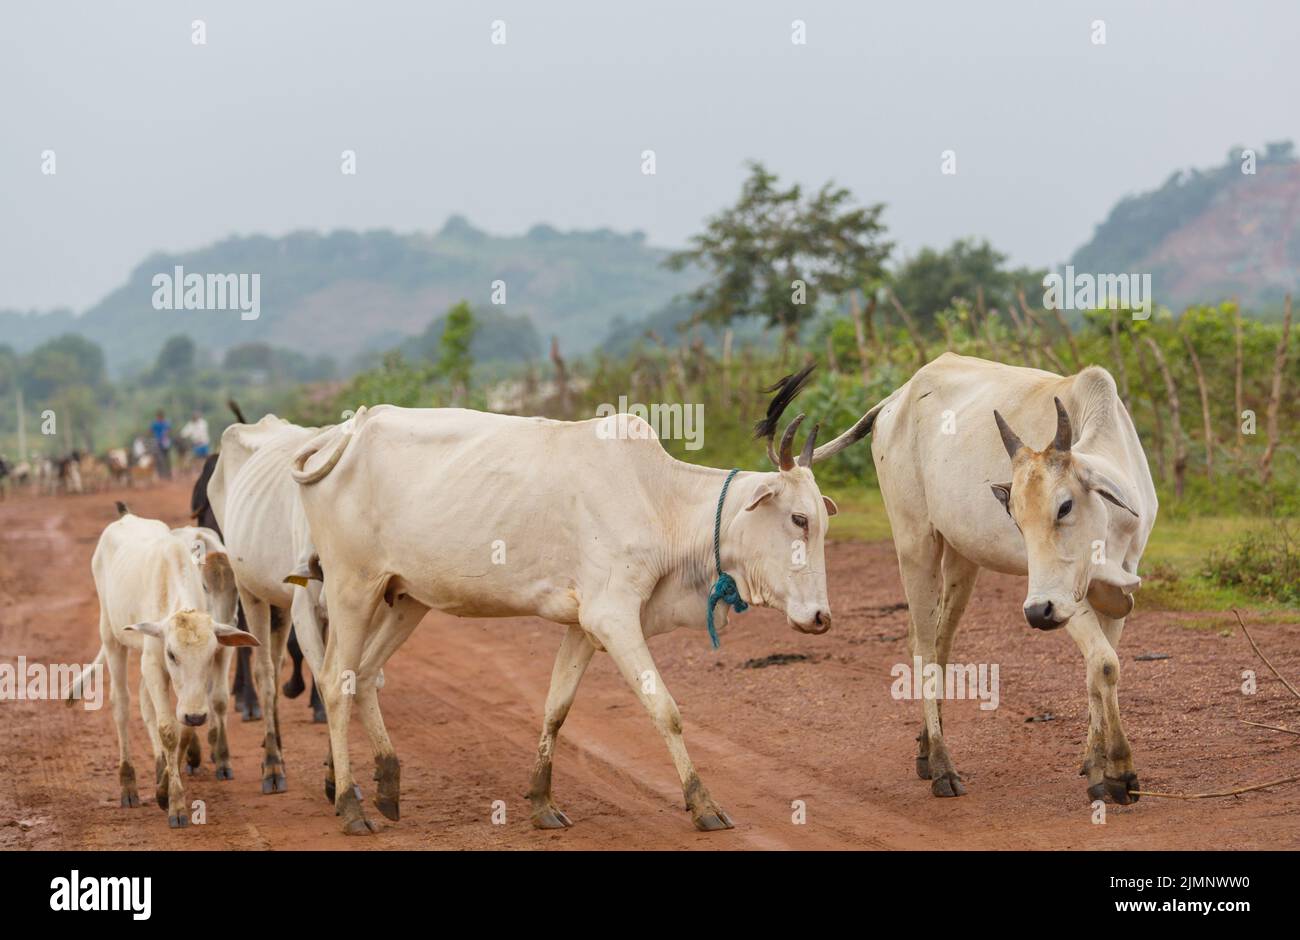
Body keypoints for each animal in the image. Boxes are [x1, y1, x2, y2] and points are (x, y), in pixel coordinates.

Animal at [79, 503, 257, 827]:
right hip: (110, 637)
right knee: (121, 704)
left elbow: (184, 729)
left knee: (145, 705)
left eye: (209, 654)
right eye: (172, 654)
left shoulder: (194, 687)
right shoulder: (154, 664)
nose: (196, 715)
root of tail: (126, 517)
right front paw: (175, 804)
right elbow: (168, 730)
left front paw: (164, 787)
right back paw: (128, 786)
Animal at [288, 372, 835, 835]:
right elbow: (666, 709)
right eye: (798, 519)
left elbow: (556, 708)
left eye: (821, 521)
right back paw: (350, 806)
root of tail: (349, 430)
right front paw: (703, 804)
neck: (659, 501)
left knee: (365, 675)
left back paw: (384, 783)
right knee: (335, 681)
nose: (821, 618)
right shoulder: (613, 617)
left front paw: (542, 802)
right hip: (352, 587)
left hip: (405, 598)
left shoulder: (584, 625)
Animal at [814, 352, 1157, 803]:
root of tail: (896, 397)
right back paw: (943, 766)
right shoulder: (1065, 596)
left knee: (940, 642)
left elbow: (1096, 671)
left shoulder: (1118, 585)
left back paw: (926, 751)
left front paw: (1095, 765)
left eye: (1065, 506)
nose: (1037, 613)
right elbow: (1104, 665)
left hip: (962, 557)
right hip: (914, 542)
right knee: (923, 647)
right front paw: (1119, 772)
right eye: (1016, 519)